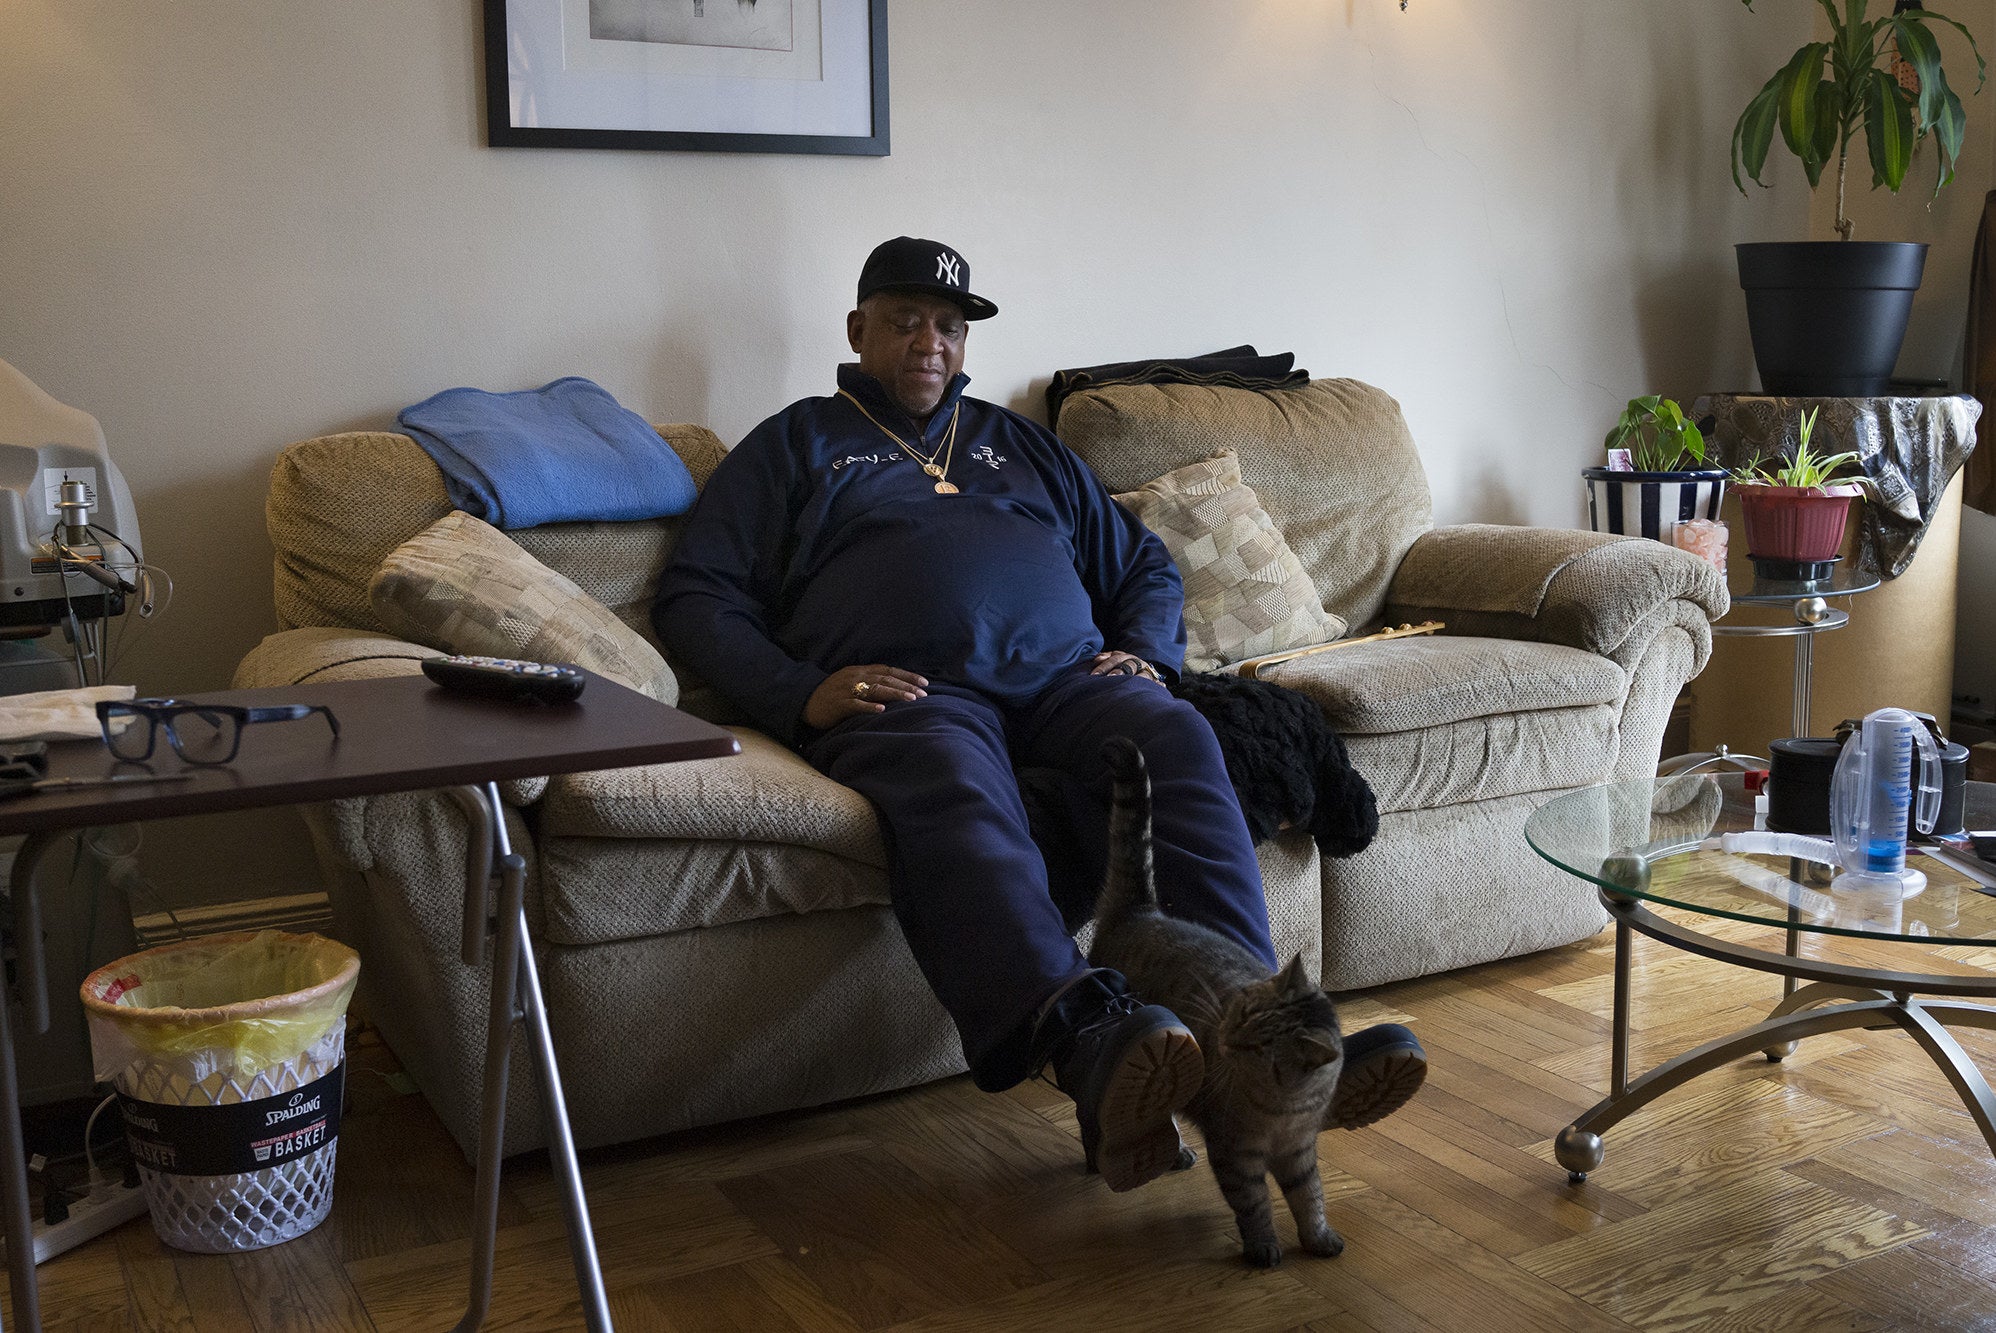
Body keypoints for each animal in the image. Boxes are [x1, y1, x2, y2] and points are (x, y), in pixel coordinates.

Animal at [1085, 734, 1349, 1269]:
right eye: (1241, 1013)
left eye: (1261, 1048)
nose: (1225, 1039)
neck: (1282, 1111)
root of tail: (1142, 910)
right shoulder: (1236, 1152)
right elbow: (1253, 1202)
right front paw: (1263, 1247)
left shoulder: (1299, 1152)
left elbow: (1309, 1197)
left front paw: (1318, 1238)